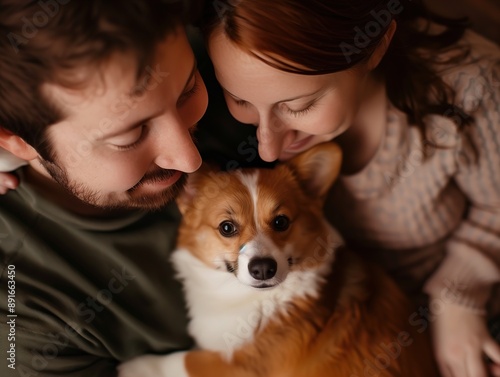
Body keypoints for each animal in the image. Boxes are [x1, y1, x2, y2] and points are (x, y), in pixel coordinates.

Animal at [119, 142, 440, 376]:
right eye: (227, 227)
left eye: (281, 222)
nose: (263, 269)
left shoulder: (241, 365)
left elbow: (183, 360)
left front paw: (134, 367)